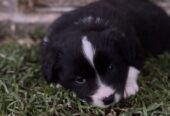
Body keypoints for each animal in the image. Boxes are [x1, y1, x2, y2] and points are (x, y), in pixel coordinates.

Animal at [40, 0, 170, 107]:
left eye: (110, 68)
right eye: (80, 79)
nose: (108, 99)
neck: (82, 26)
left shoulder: (134, 45)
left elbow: (133, 65)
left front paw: (128, 87)